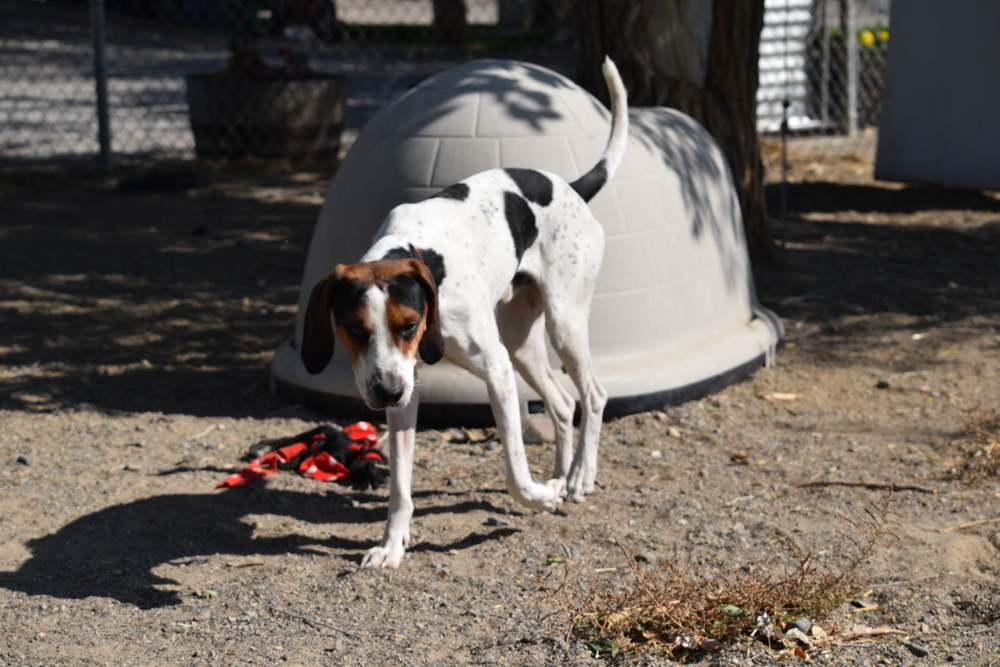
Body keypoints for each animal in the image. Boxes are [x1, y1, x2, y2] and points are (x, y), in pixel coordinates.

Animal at [300, 58, 628, 568]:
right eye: (353, 329)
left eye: (409, 325)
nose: (386, 392)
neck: (422, 256)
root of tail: (572, 188)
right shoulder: (406, 392)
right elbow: (400, 487)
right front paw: (391, 545)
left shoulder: (494, 370)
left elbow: (514, 468)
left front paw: (538, 496)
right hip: (521, 344)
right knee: (563, 403)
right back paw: (561, 471)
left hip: (563, 325)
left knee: (593, 395)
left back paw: (576, 478)